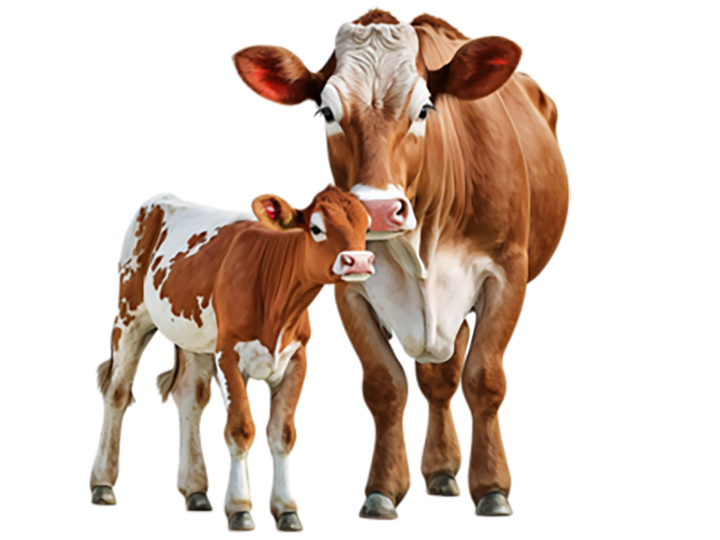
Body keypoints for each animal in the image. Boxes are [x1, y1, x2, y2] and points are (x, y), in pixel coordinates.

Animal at [89, 186, 373, 533]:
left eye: (366, 227)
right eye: (316, 228)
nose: (359, 261)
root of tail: (159, 199)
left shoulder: (298, 358)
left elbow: (283, 433)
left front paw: (286, 509)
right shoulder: (228, 355)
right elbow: (241, 428)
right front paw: (240, 508)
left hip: (193, 336)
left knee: (190, 398)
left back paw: (195, 490)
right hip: (130, 313)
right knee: (116, 392)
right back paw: (103, 484)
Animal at [231, 10, 570, 527]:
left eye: (426, 109)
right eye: (326, 113)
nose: (377, 210)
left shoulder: (508, 273)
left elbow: (484, 378)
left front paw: (493, 489)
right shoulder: (348, 289)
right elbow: (384, 384)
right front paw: (383, 489)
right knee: (437, 378)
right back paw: (442, 470)